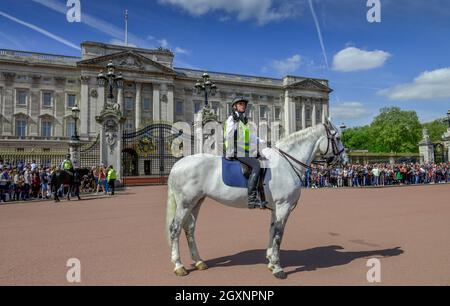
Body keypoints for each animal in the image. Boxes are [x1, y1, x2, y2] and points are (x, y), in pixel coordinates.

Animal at [167, 120, 346, 278]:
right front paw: (278, 268)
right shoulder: (283, 206)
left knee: (189, 229)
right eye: (337, 138)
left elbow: (272, 231)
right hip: (185, 204)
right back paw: (179, 266)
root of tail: (177, 164)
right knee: (175, 229)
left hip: (196, 202)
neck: (286, 163)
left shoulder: (276, 208)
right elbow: (279, 235)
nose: (344, 160)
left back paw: (199, 262)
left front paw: (271, 262)